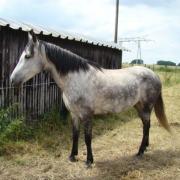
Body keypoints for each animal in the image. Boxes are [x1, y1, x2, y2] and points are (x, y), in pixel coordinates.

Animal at [9, 31, 170, 167]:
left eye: (27, 56)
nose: (12, 80)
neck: (76, 78)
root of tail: (154, 74)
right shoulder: (74, 114)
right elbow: (75, 135)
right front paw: (72, 156)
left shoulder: (87, 115)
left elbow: (87, 137)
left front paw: (89, 161)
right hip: (138, 106)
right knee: (145, 125)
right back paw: (145, 147)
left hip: (147, 107)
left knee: (146, 126)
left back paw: (140, 151)